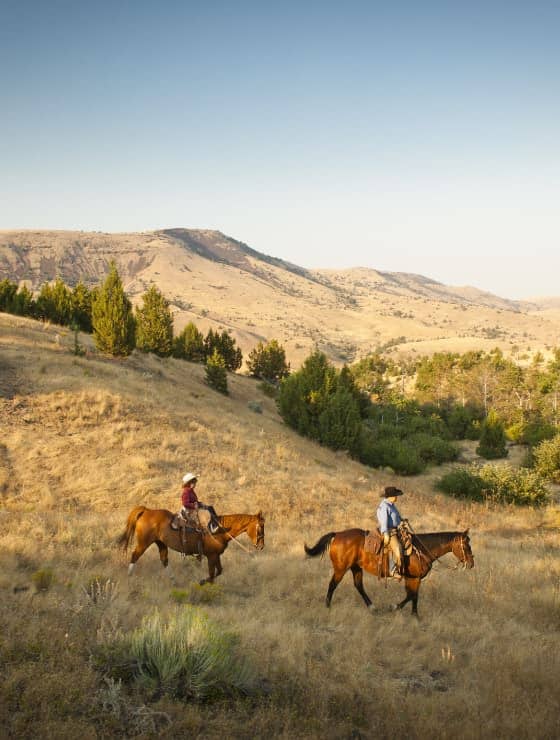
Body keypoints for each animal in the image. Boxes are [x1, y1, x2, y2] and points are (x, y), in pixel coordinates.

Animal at [117, 508, 264, 584]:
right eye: (260, 528)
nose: (261, 546)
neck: (219, 530)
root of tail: (146, 510)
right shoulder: (211, 556)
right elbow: (212, 574)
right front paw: (203, 582)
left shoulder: (216, 555)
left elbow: (219, 571)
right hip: (144, 542)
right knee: (135, 555)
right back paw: (129, 575)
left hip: (161, 543)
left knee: (164, 560)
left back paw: (173, 580)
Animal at [304, 528, 474, 616]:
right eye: (466, 545)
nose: (471, 563)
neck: (422, 549)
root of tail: (337, 534)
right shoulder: (414, 577)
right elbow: (412, 595)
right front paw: (395, 608)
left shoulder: (412, 578)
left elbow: (413, 596)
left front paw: (415, 616)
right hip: (341, 568)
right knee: (332, 584)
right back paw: (327, 606)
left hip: (356, 568)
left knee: (358, 586)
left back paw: (372, 607)